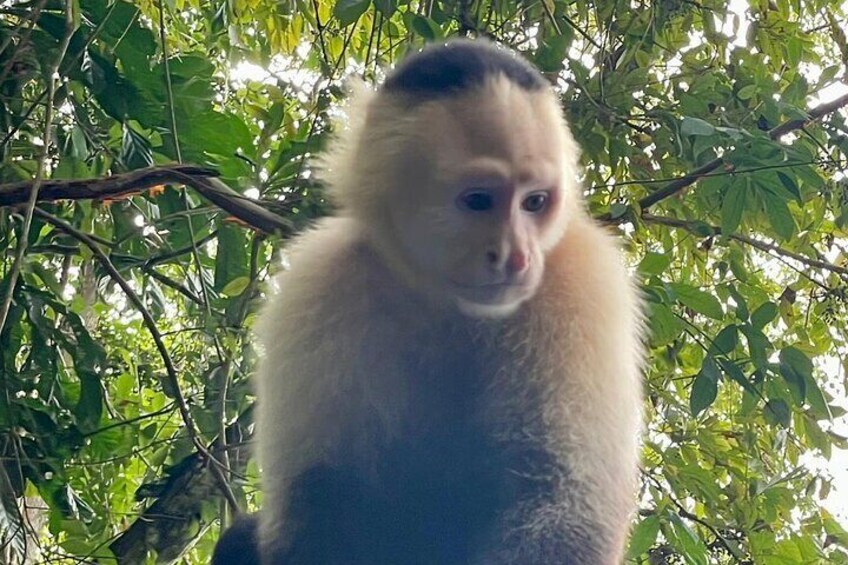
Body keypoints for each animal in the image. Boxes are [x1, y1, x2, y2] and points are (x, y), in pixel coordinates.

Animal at [212, 39, 644, 564]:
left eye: (535, 202)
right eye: (478, 201)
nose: (516, 256)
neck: (445, 302)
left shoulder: (581, 280)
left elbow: (563, 501)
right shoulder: (319, 281)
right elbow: (320, 499)